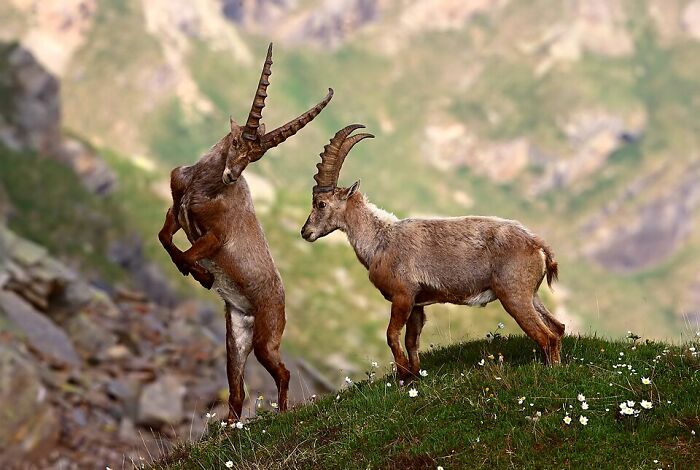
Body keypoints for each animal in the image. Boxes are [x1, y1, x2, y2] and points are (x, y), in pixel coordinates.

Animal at [158, 43, 333, 420]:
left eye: (256, 156)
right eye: (238, 141)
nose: (232, 175)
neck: (202, 187)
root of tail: (278, 303)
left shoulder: (215, 237)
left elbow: (188, 254)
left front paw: (203, 276)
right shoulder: (176, 211)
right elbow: (165, 239)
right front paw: (199, 274)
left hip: (266, 337)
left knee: (282, 371)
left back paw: (281, 413)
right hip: (236, 335)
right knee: (236, 390)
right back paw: (229, 427)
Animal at [301, 125, 564, 380]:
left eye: (321, 204)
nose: (305, 232)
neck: (380, 241)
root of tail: (536, 243)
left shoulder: (403, 296)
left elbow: (391, 335)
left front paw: (402, 377)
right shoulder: (417, 303)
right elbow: (411, 340)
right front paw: (415, 376)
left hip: (513, 295)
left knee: (547, 336)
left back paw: (549, 371)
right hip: (531, 294)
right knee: (558, 328)